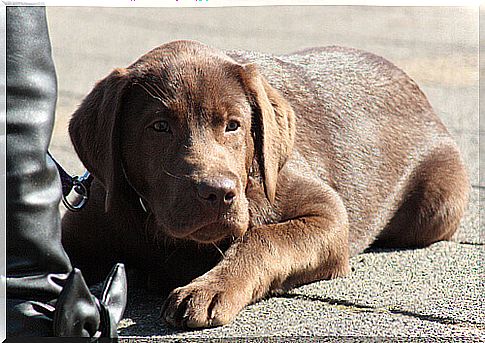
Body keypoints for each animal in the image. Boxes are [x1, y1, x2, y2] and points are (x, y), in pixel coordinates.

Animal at [61, 41, 468, 330]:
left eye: (233, 125)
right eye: (159, 127)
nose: (219, 193)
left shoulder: (328, 215)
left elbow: (261, 239)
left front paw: (210, 288)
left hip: (435, 208)